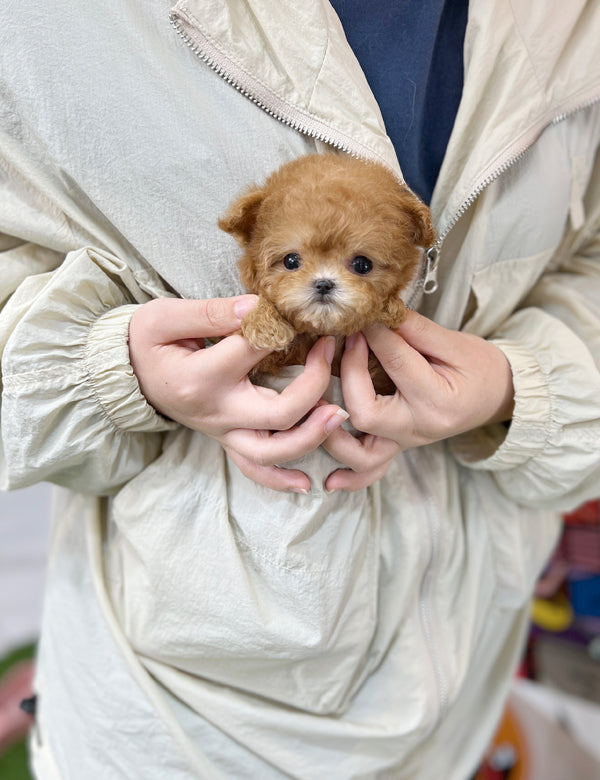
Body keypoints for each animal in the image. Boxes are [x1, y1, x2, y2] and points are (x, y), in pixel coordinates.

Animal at [218, 154, 434, 396]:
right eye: (291, 261)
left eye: (362, 264)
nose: (323, 284)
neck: (322, 332)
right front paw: (264, 324)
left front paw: (390, 308)